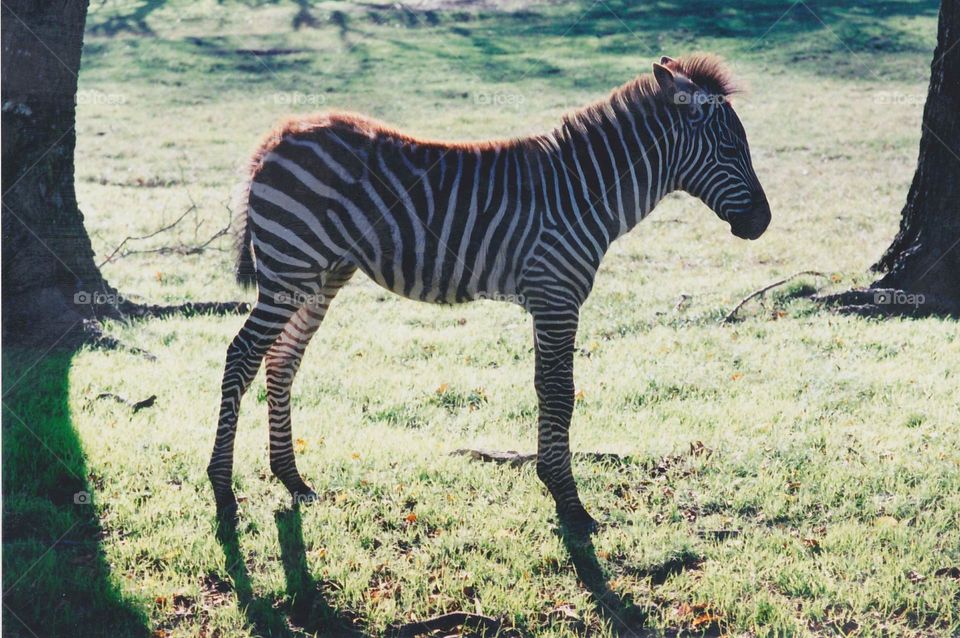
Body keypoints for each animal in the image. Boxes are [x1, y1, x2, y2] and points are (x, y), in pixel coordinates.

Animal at [207, 54, 771, 535]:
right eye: (730, 149)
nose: (762, 223)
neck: (585, 191)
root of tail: (277, 136)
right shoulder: (556, 295)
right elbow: (560, 390)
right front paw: (570, 503)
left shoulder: (549, 298)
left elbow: (546, 388)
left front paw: (555, 488)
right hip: (291, 265)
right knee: (241, 356)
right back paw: (222, 491)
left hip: (320, 275)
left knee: (281, 360)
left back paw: (292, 479)